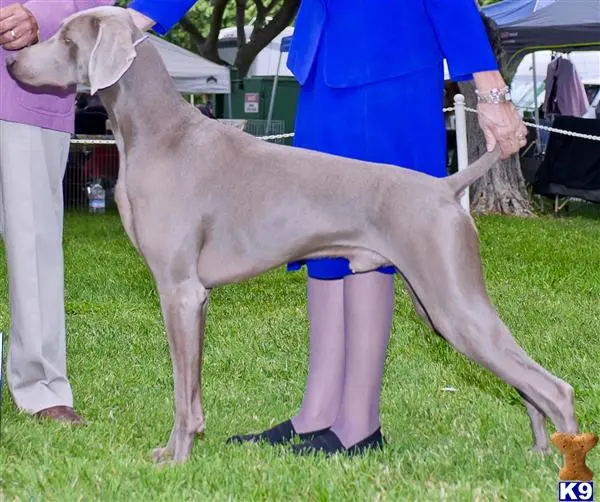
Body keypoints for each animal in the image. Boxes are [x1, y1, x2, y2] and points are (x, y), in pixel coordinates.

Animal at [3, 6, 576, 462]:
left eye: (65, 38)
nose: (13, 62)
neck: (159, 134)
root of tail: (445, 184)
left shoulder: (178, 291)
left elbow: (180, 389)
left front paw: (177, 459)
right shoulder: (197, 298)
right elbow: (192, 389)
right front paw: (180, 447)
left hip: (453, 303)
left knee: (556, 388)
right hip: (437, 304)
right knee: (527, 385)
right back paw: (539, 449)